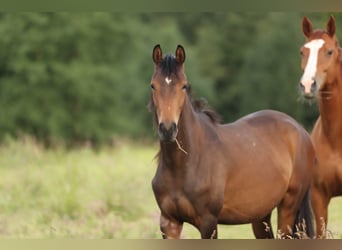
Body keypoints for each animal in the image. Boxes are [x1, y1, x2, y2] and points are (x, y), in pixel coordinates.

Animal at [150, 44, 316, 238]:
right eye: (153, 86)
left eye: (184, 86)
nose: (168, 129)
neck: (184, 164)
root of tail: (300, 130)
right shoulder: (169, 223)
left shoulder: (208, 223)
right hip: (261, 215)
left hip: (288, 208)